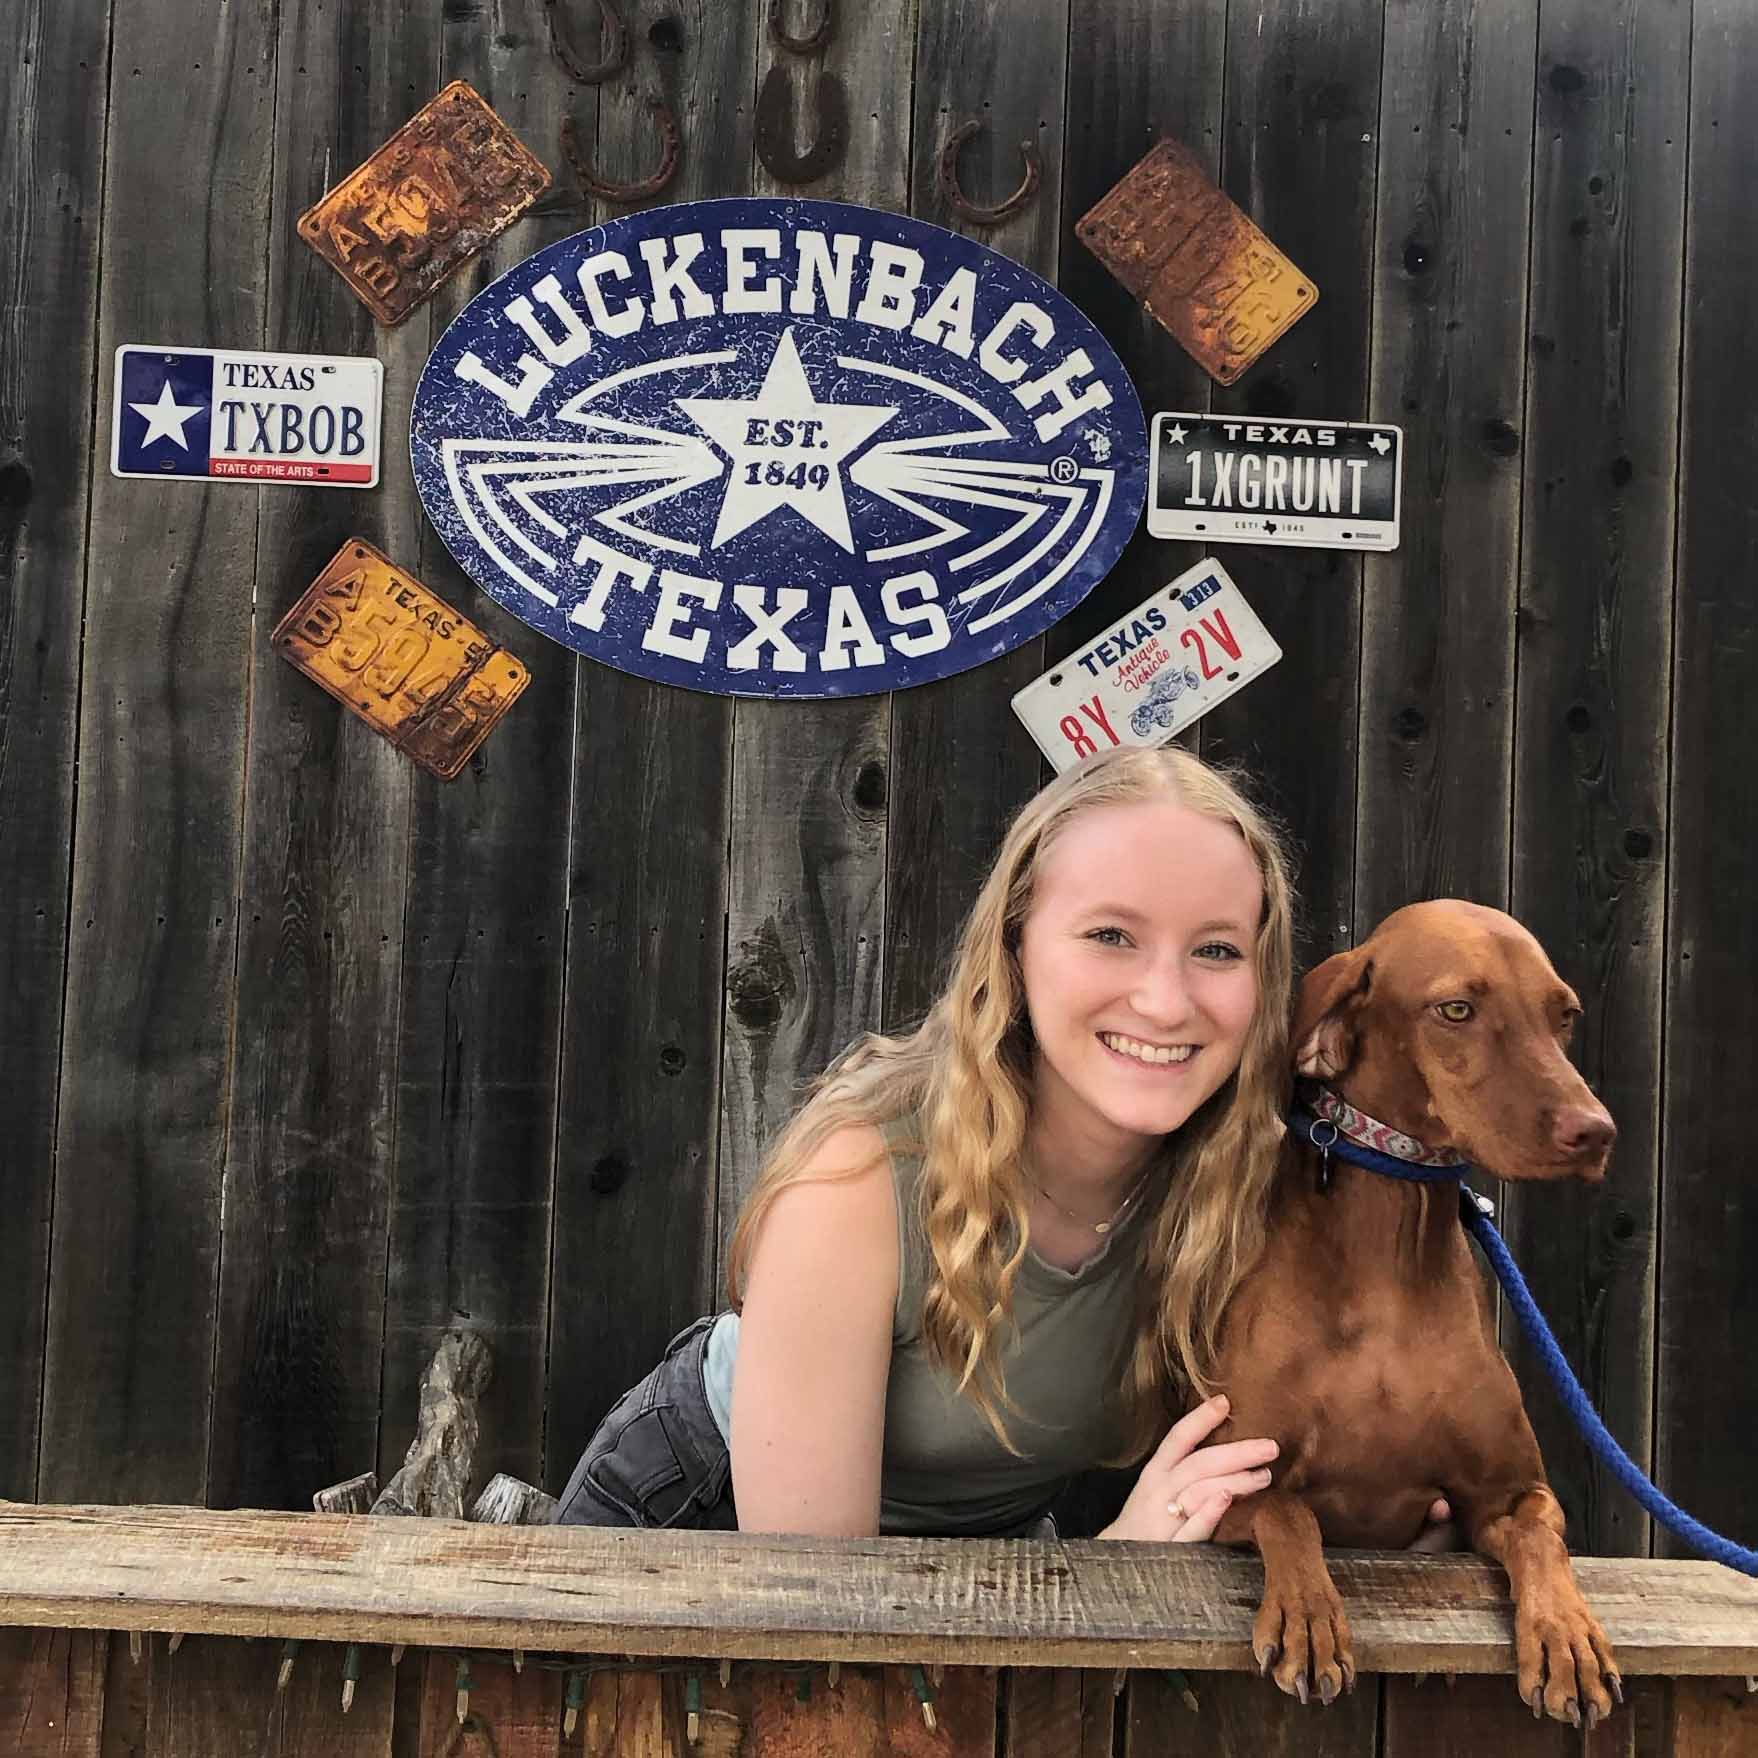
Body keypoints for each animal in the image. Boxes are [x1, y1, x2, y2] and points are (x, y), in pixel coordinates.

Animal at [1209, 900, 1617, 1722]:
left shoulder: (1505, 1497)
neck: (1388, 1259)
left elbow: (1542, 1536)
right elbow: (1286, 1511)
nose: (1595, 1132)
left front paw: (1568, 1635)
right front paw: (1309, 1616)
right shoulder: (1232, 1487)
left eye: (1563, 1015)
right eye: (1455, 1009)